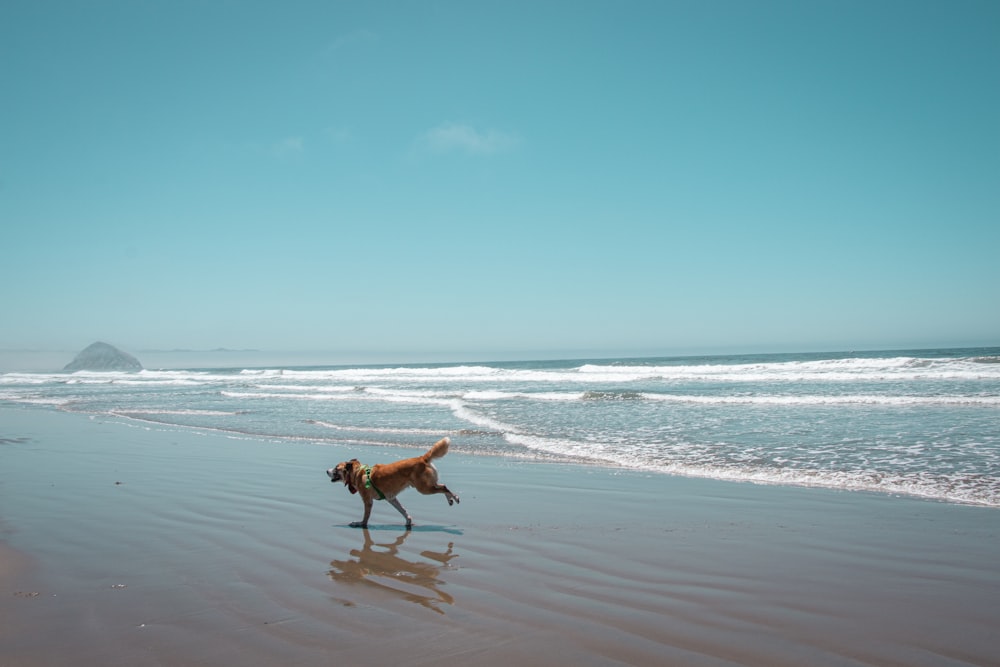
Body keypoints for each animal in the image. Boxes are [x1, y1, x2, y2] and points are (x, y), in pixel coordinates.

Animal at [328, 436, 460, 528]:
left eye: (336, 468)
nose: (326, 471)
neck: (358, 472)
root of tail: (422, 458)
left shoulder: (368, 501)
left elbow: (366, 515)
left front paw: (361, 523)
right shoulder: (391, 498)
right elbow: (403, 511)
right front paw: (408, 521)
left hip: (424, 488)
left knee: (443, 488)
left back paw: (455, 497)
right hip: (428, 484)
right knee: (442, 486)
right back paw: (450, 499)